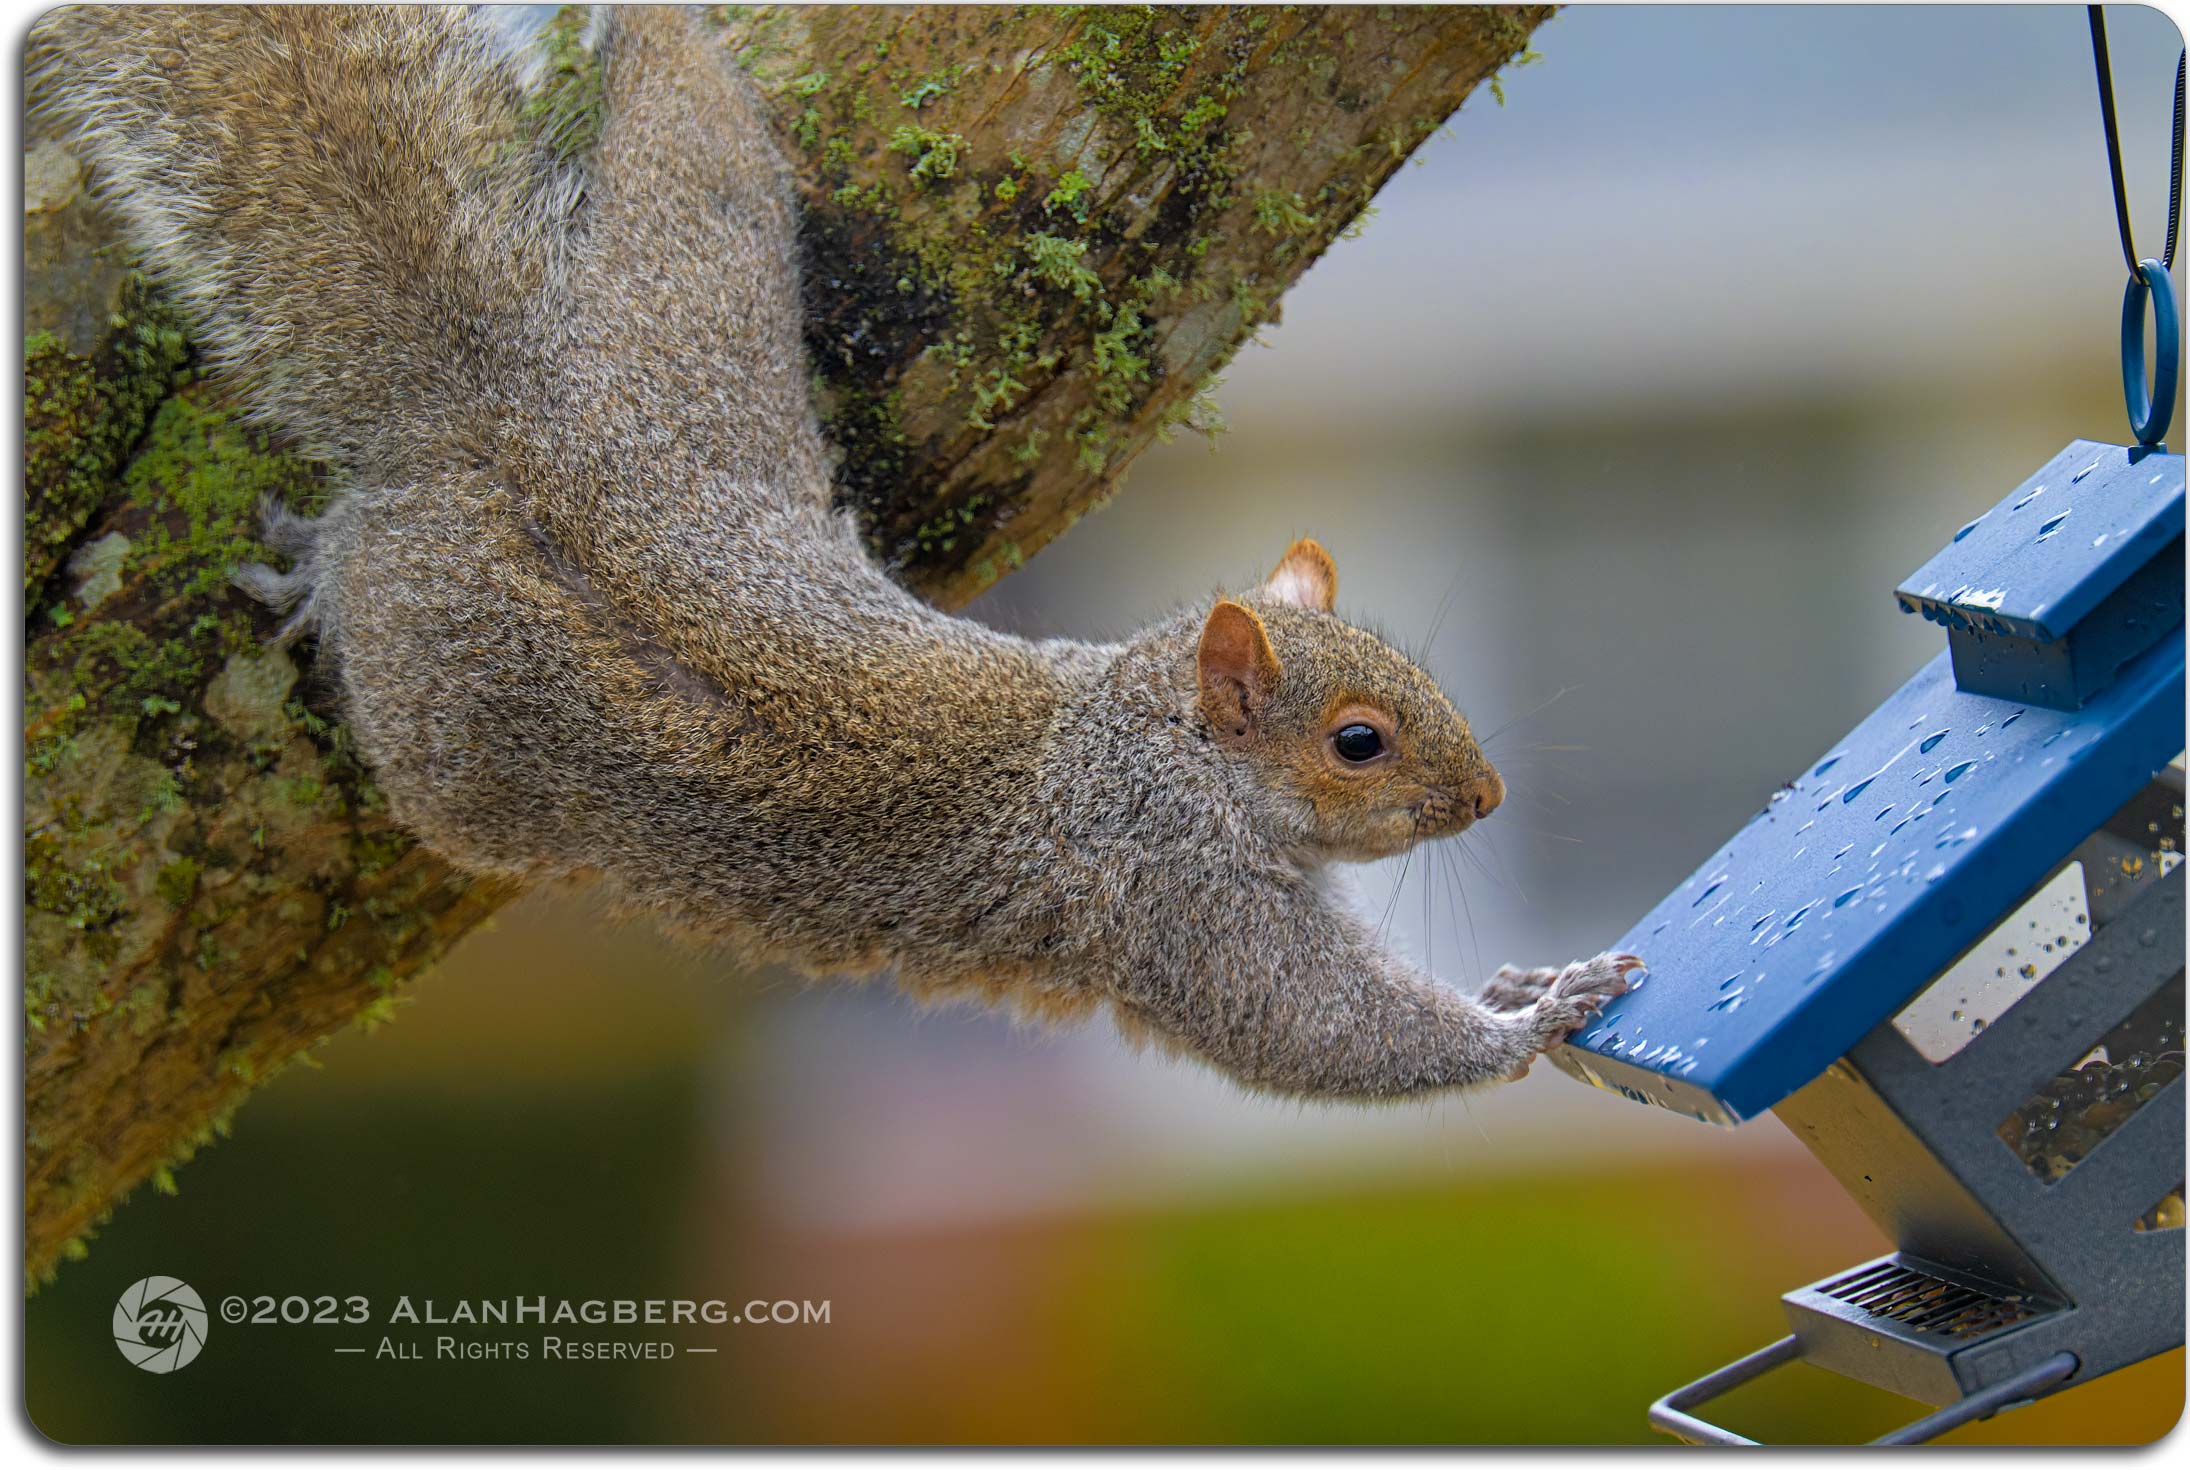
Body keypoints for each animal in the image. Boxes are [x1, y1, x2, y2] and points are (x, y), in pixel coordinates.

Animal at [29, 5, 1640, 1100]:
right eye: (1360, 741)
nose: (1487, 796)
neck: (1135, 738)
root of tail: (504, 412)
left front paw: (1530, 976)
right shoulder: (1175, 898)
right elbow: (1325, 1034)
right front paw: (1536, 1013)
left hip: (697, 300)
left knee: (691, 146)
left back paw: (655, 32)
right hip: (449, 732)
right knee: (376, 600)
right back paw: (316, 566)